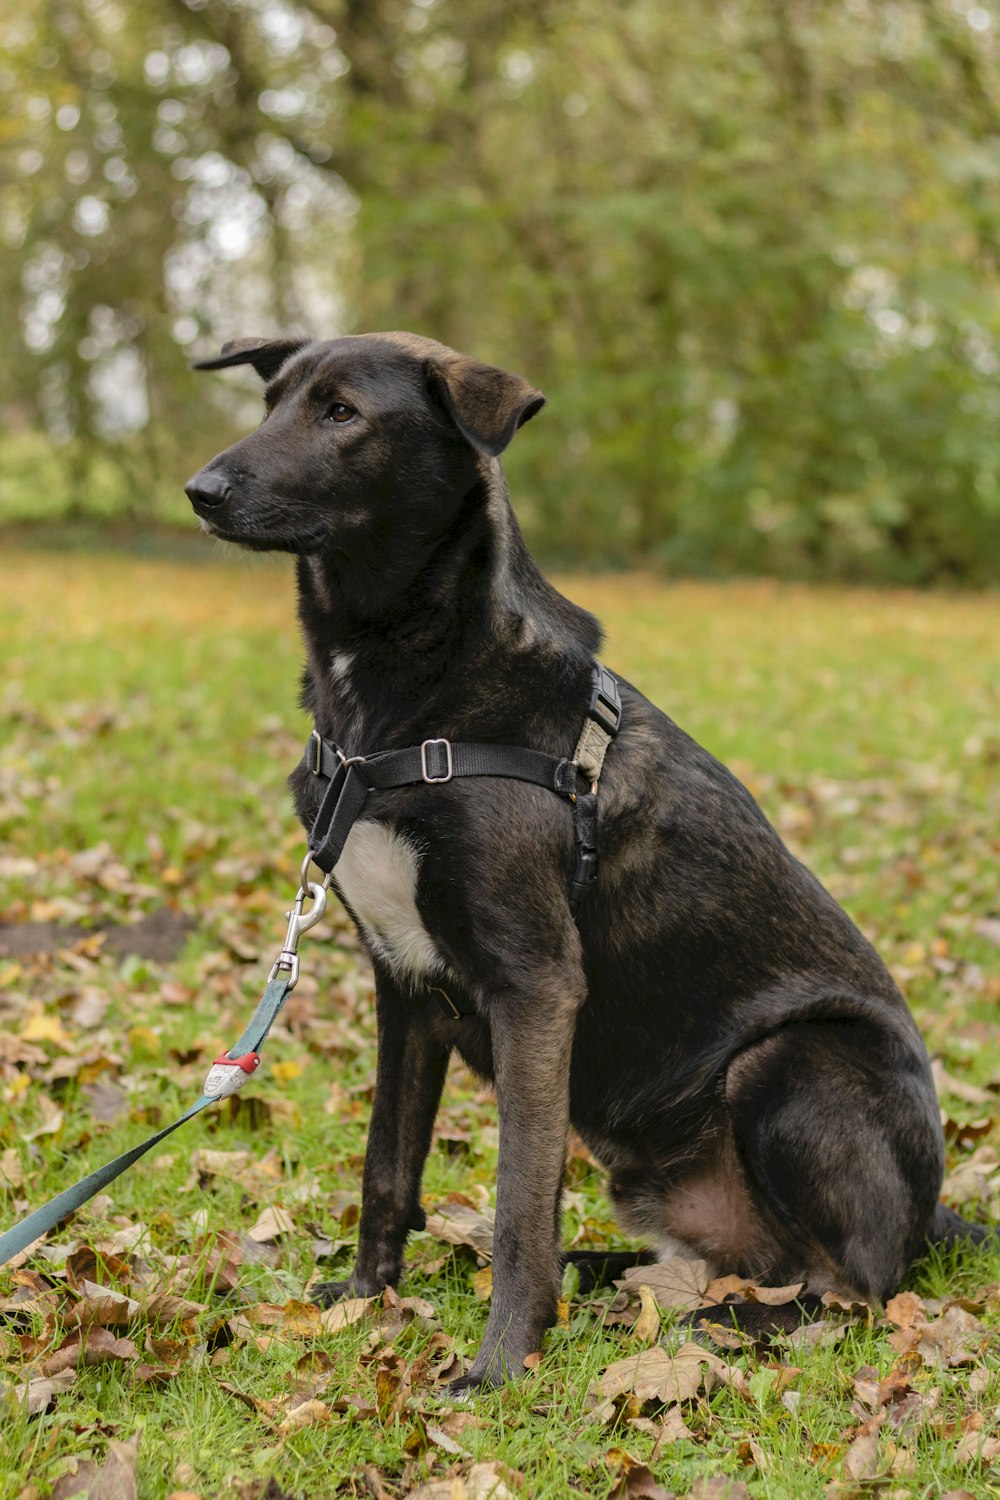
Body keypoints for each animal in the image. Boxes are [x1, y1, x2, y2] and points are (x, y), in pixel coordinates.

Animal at [183, 334, 989, 1386]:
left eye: (342, 413)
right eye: (271, 401)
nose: (200, 490)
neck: (398, 705)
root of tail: (931, 1219)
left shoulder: (535, 986)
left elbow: (521, 1201)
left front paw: (500, 1364)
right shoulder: (404, 988)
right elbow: (386, 1167)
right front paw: (365, 1301)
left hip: (790, 1060)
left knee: (852, 1290)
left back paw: (721, 1323)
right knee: (748, 1262)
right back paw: (616, 1279)